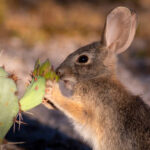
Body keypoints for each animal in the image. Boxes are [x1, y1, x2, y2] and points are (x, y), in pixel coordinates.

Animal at [44, 6, 150, 150]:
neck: (97, 77)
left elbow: (73, 109)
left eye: (83, 59)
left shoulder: (92, 109)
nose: (58, 71)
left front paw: (51, 90)